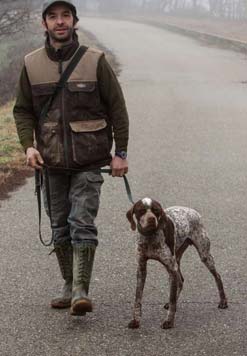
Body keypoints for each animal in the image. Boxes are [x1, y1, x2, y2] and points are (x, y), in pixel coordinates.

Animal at [126, 196, 229, 330]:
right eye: (141, 210)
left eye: (156, 210)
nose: (151, 219)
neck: (150, 237)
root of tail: (193, 211)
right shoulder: (141, 269)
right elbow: (138, 298)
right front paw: (135, 320)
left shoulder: (171, 267)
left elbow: (172, 299)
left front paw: (169, 321)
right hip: (175, 261)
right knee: (180, 280)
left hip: (203, 255)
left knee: (217, 276)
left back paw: (223, 301)